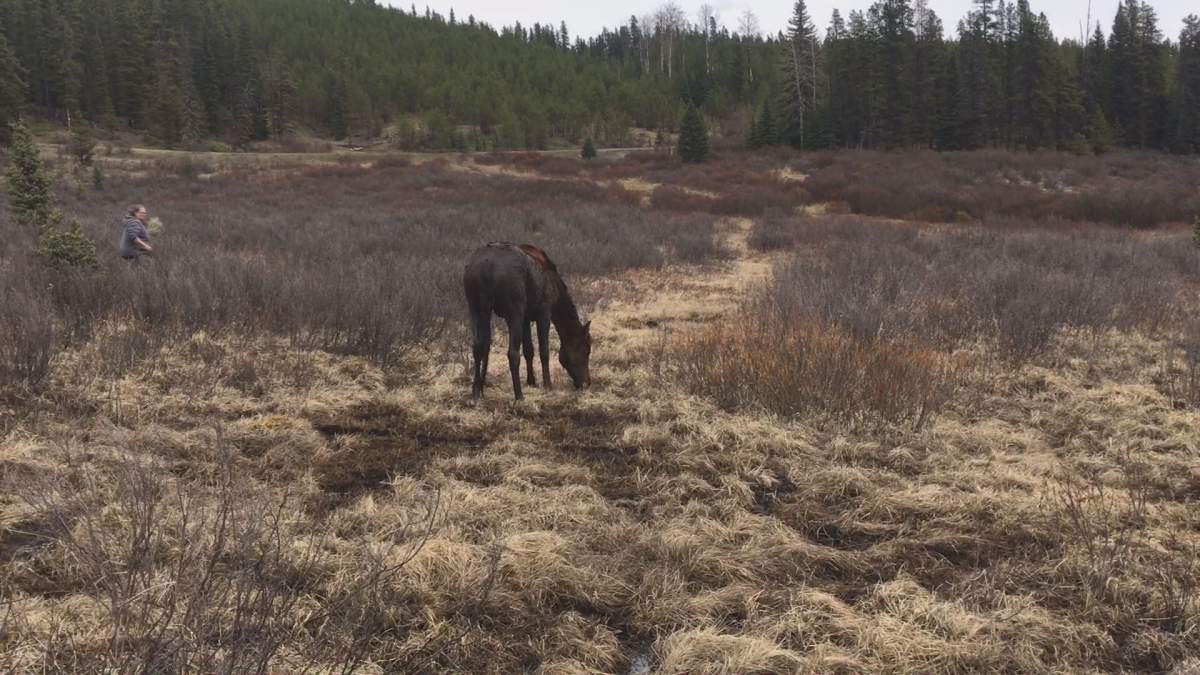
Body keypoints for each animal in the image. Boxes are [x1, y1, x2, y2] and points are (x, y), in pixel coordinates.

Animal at [463, 242, 592, 401]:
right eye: (586, 350)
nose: (587, 382)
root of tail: (486, 267)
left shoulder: (526, 318)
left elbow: (528, 350)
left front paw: (532, 381)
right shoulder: (544, 312)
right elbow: (543, 351)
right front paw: (547, 384)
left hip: (476, 308)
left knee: (478, 347)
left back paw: (476, 391)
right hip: (514, 311)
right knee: (512, 353)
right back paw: (519, 395)